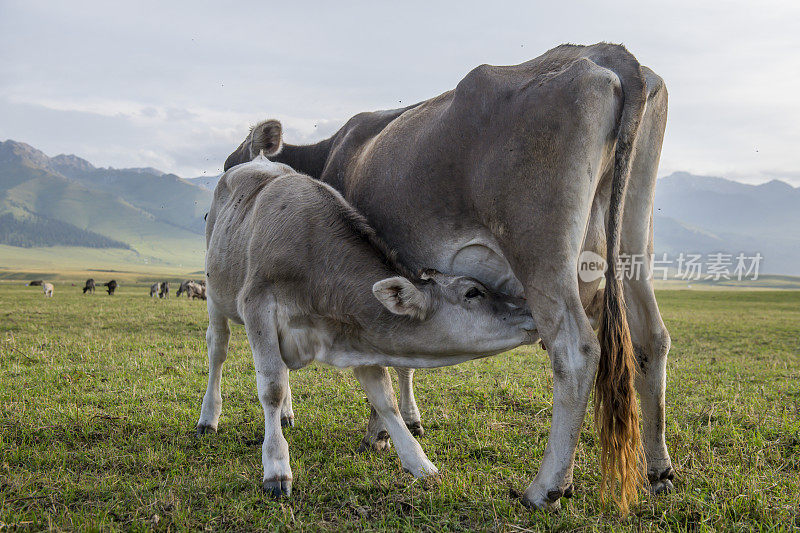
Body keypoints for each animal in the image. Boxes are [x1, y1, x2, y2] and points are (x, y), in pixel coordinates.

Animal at [197, 138, 536, 498]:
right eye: (473, 291)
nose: (528, 306)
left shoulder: (356, 332)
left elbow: (384, 398)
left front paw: (419, 462)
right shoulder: (258, 306)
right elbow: (271, 387)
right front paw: (276, 467)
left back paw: (287, 415)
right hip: (215, 294)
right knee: (218, 349)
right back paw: (208, 417)